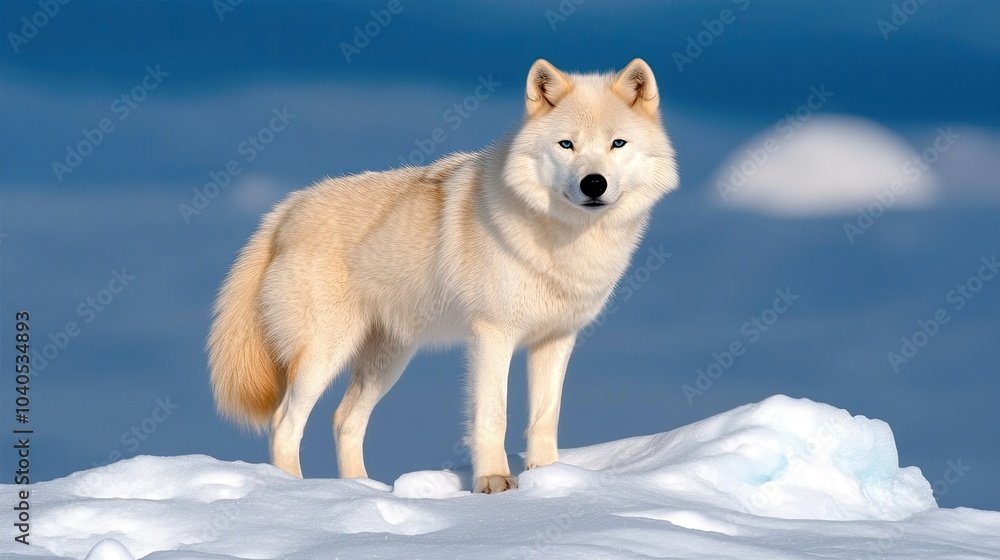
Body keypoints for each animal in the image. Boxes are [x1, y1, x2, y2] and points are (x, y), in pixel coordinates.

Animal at [208, 58, 678, 493]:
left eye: (617, 143)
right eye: (567, 144)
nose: (593, 184)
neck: (564, 240)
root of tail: (285, 210)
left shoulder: (556, 338)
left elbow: (546, 417)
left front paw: (549, 480)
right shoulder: (492, 335)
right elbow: (493, 415)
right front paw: (493, 482)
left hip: (387, 360)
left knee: (345, 419)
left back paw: (360, 489)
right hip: (325, 354)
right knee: (285, 423)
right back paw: (294, 492)